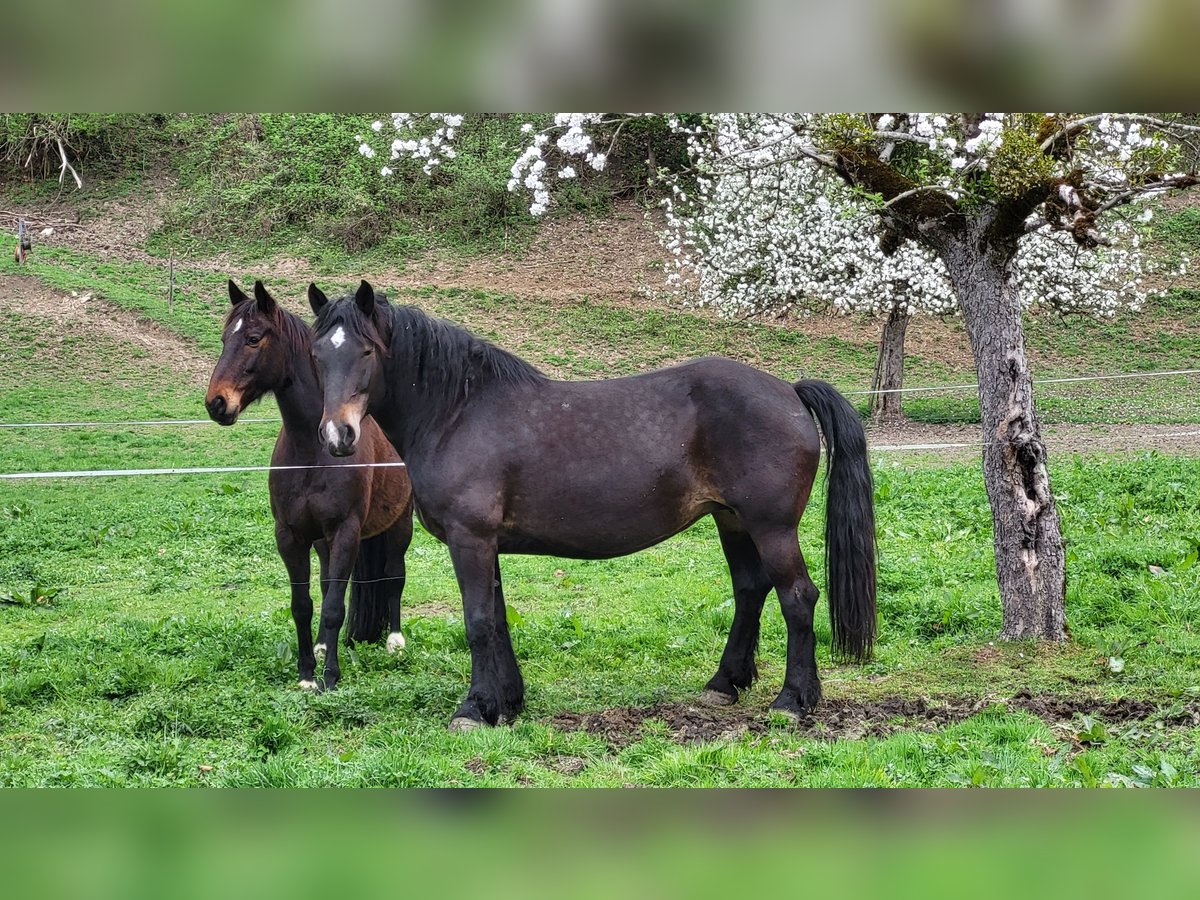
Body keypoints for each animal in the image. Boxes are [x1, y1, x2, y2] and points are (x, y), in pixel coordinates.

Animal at [204, 282, 415, 691]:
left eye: (253, 338)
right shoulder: (291, 535)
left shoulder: (346, 532)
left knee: (394, 575)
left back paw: (395, 643)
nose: (216, 404)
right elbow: (303, 604)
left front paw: (330, 676)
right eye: (224, 339)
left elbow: (335, 606)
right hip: (322, 542)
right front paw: (306, 674)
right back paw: (321, 646)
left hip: (400, 525)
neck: (312, 452)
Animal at [309, 282, 873, 734]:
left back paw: (793, 701)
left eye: (365, 351)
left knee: (797, 597)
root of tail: (790, 391)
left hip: (771, 527)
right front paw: (508, 703)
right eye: (317, 355)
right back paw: (725, 683)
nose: (338, 436)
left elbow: (478, 620)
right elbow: (498, 618)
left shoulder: (470, 539)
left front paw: (474, 709)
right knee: (750, 591)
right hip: (732, 521)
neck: (458, 412)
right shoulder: (488, 544)